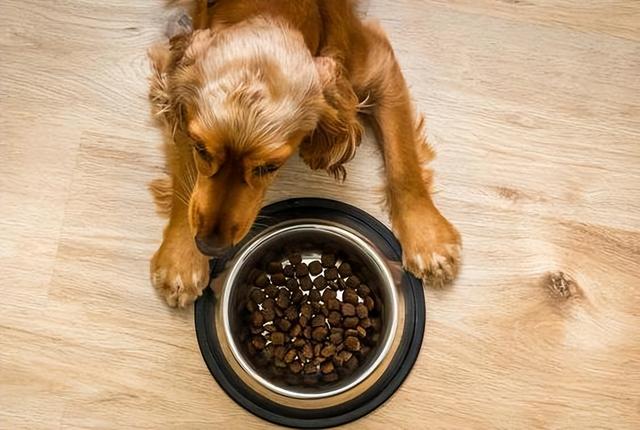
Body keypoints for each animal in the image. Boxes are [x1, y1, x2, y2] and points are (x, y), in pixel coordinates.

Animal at [149, 0, 460, 310]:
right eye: (200, 148)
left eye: (270, 167)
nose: (209, 246)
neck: (271, 9)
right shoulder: (172, 87)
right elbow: (185, 178)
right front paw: (182, 260)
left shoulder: (377, 65)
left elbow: (402, 161)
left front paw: (428, 240)